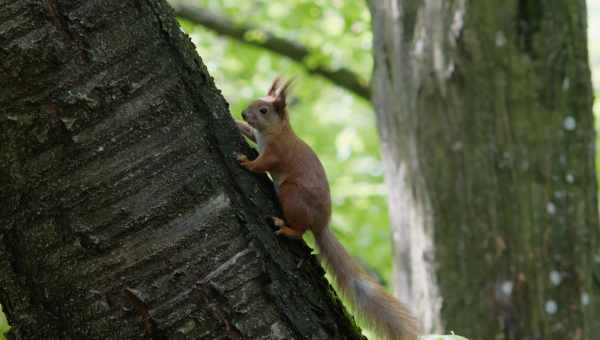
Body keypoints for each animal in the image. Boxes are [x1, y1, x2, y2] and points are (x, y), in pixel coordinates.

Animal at [236, 77, 422, 340]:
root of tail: (321, 224)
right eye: (254, 102)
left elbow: (261, 164)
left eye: (264, 110)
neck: (276, 131)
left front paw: (246, 162)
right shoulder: (258, 136)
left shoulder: (276, 152)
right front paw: (237, 123)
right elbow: (249, 132)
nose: (244, 112)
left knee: (300, 229)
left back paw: (286, 228)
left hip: (291, 196)